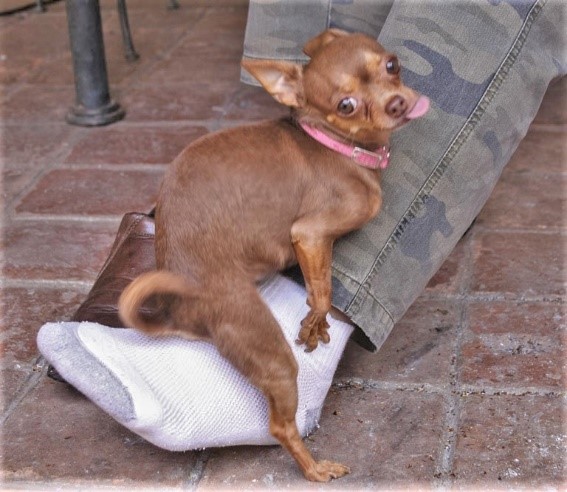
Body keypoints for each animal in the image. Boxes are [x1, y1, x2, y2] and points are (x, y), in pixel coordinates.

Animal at [121, 28, 430, 482]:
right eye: (346, 105)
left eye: (392, 65)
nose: (397, 103)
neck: (334, 143)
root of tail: (181, 309)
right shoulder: (311, 232)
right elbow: (322, 290)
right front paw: (315, 320)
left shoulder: (315, 243)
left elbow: (318, 285)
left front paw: (317, 325)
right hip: (271, 353)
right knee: (280, 426)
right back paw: (315, 469)